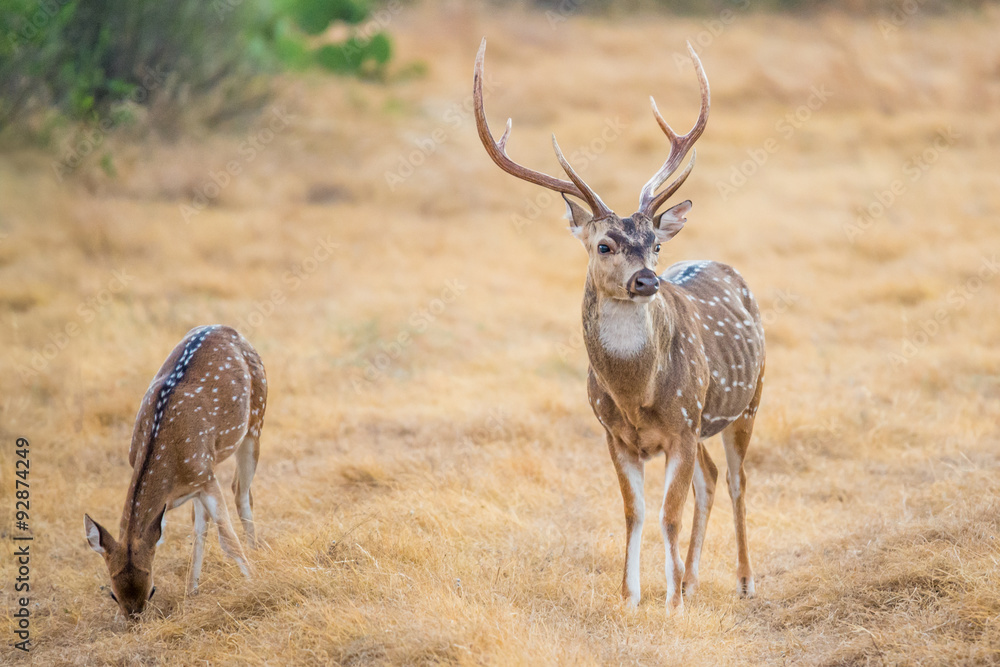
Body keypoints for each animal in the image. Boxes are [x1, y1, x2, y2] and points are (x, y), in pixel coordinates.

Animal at [83, 324, 266, 619]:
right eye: (113, 594)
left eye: (151, 590)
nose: (135, 619)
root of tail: (226, 328)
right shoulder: (201, 479)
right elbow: (199, 528)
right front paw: (191, 592)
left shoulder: (205, 477)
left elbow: (226, 539)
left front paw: (255, 580)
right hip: (211, 464)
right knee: (205, 521)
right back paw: (192, 589)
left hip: (255, 421)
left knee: (242, 493)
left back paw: (256, 552)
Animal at [474, 39, 765, 612]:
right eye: (605, 245)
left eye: (655, 244)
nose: (646, 280)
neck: (637, 395)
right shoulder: (614, 433)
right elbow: (634, 513)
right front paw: (632, 598)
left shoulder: (681, 423)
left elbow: (668, 515)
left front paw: (670, 605)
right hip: (706, 419)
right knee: (711, 477)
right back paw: (693, 580)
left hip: (748, 399)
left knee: (738, 479)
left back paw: (742, 580)